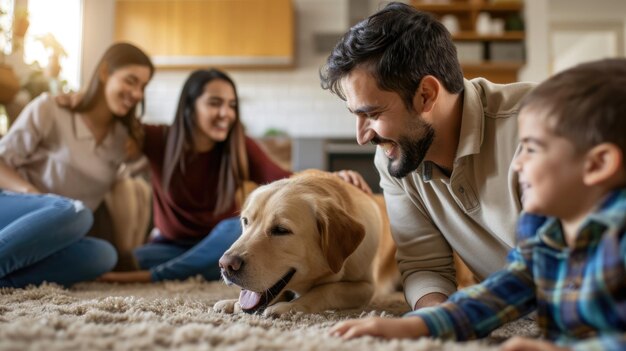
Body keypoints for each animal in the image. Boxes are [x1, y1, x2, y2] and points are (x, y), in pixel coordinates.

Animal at [212, 170, 392, 316]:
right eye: (245, 221)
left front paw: (288, 307)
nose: (225, 265)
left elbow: (327, 289)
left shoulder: (367, 287)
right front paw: (233, 302)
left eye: (281, 230)